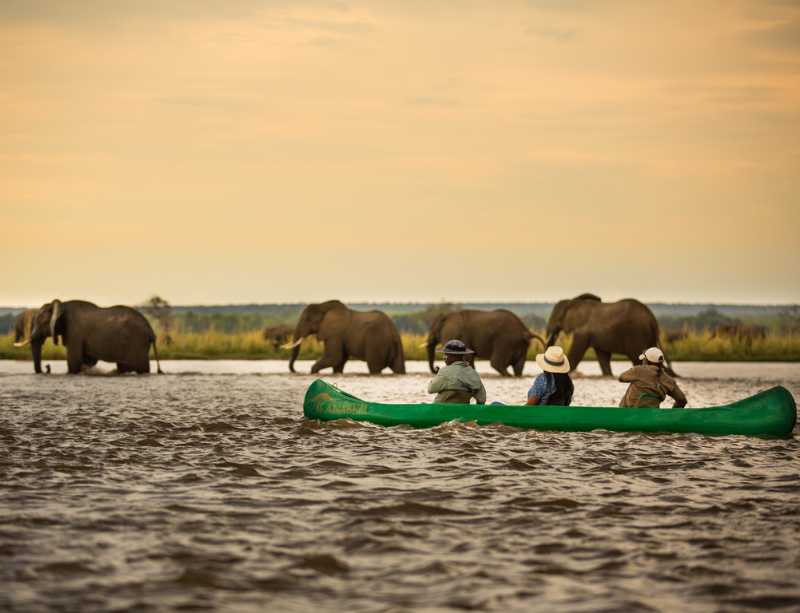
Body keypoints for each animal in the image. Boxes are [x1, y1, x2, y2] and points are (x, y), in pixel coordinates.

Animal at [25, 299, 163, 374]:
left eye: (40, 322)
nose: (47, 367)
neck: (62, 304)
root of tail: (151, 331)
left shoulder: (75, 332)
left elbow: (74, 361)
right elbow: (87, 360)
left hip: (137, 343)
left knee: (141, 367)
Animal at [545, 293, 676, 377]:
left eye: (556, 318)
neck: (573, 302)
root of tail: (652, 319)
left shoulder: (583, 331)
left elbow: (577, 351)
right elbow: (603, 356)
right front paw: (608, 375)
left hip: (636, 333)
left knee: (636, 357)